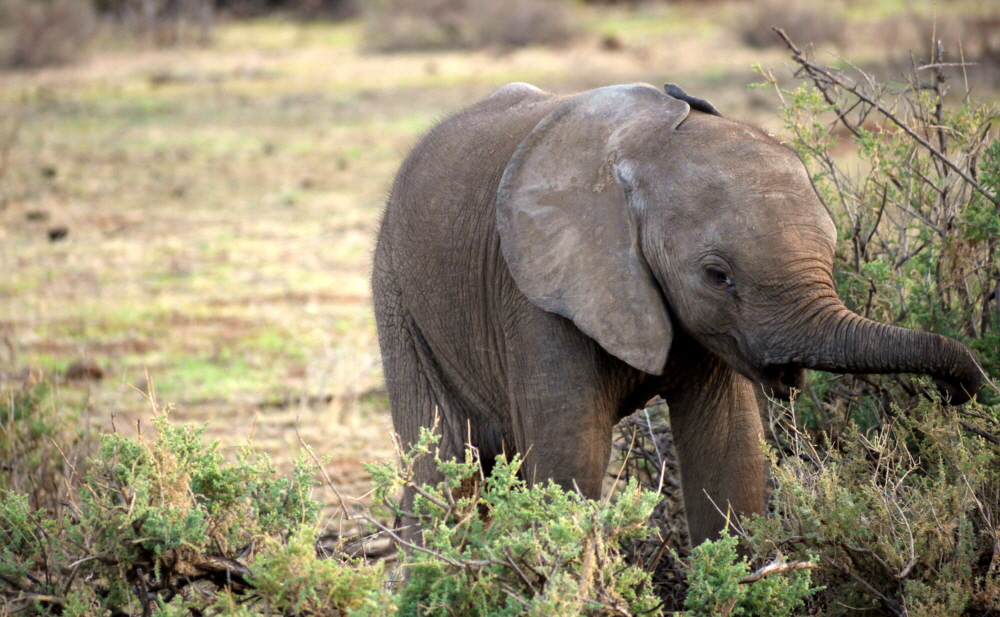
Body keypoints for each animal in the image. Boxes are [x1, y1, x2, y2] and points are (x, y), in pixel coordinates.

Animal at [370, 80, 984, 544]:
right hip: (396, 292)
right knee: (442, 464)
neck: (639, 153)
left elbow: (729, 453)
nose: (956, 393)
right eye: (717, 275)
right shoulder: (537, 296)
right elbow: (570, 462)